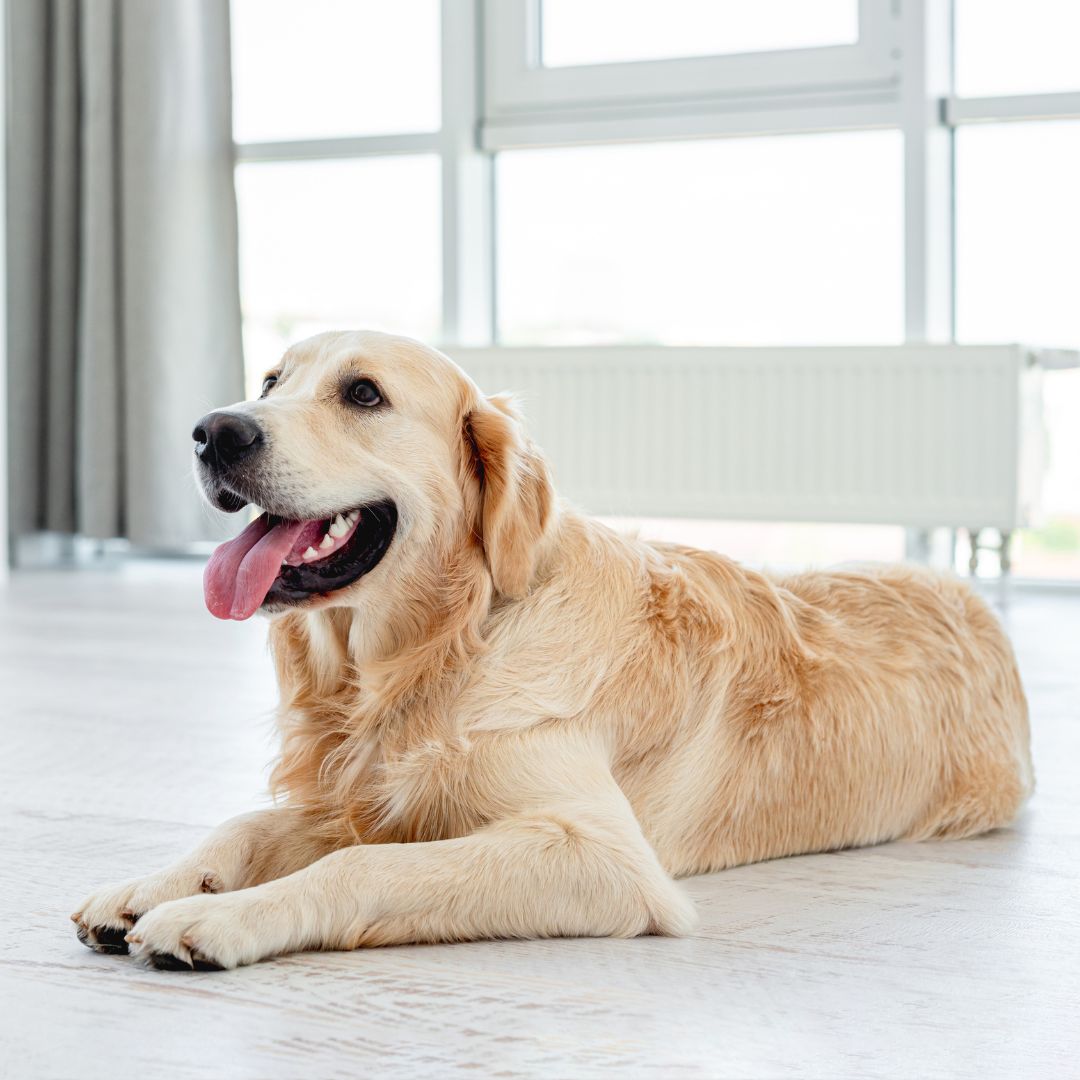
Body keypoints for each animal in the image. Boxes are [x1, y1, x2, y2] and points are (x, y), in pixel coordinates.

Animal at [71, 330, 1032, 972]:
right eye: (270, 379)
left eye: (364, 394)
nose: (215, 431)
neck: (435, 652)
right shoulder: (360, 791)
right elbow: (248, 824)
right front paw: (149, 886)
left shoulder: (599, 855)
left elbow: (361, 863)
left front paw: (218, 919)